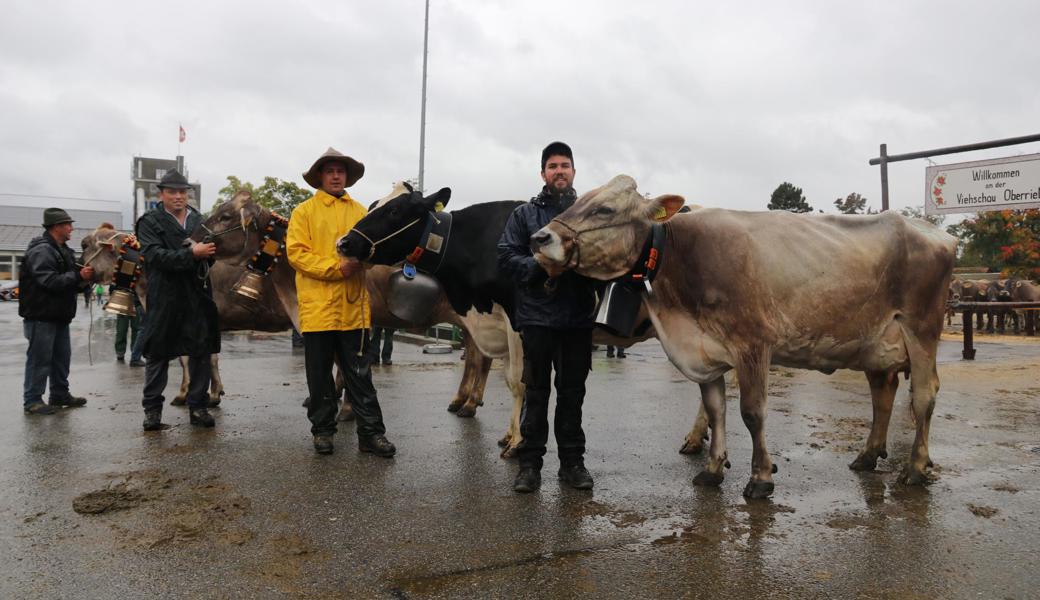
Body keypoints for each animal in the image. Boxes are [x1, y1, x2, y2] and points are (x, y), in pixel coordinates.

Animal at [532, 172, 952, 494]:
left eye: (604, 209)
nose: (539, 238)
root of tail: (932, 232)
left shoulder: (753, 343)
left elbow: (752, 412)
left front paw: (761, 477)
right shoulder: (705, 350)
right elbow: (716, 408)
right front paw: (713, 469)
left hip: (921, 330)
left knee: (924, 397)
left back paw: (915, 469)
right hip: (876, 344)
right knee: (883, 396)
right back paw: (866, 457)